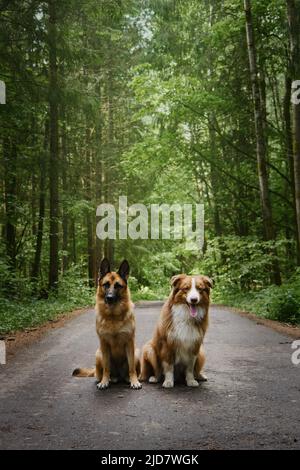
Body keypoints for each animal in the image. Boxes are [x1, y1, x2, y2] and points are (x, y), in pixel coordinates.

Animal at [73, 258, 142, 392]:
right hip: (98, 354)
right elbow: (106, 368)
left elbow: (132, 368)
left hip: (136, 352)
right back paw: (109, 379)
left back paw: (126, 378)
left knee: (128, 370)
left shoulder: (129, 342)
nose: (109, 298)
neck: (113, 316)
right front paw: (104, 382)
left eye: (118, 286)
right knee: (103, 373)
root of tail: (119, 375)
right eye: (106, 284)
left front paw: (134, 381)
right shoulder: (104, 344)